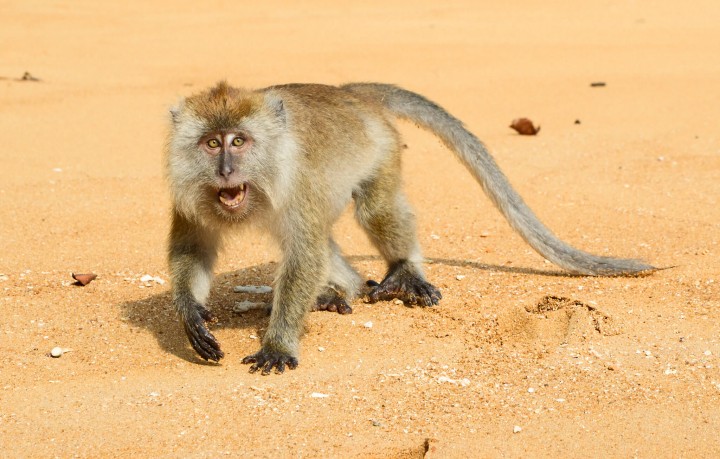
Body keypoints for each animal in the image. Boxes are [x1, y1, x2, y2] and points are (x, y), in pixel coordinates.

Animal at [166, 81, 656, 376]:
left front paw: (279, 344)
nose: (226, 171)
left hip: (382, 147)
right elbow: (193, 247)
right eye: (211, 143)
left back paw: (401, 271)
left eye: (239, 141)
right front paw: (190, 312)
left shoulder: (297, 184)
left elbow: (304, 255)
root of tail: (349, 93)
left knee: (374, 210)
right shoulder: (190, 191)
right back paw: (340, 290)